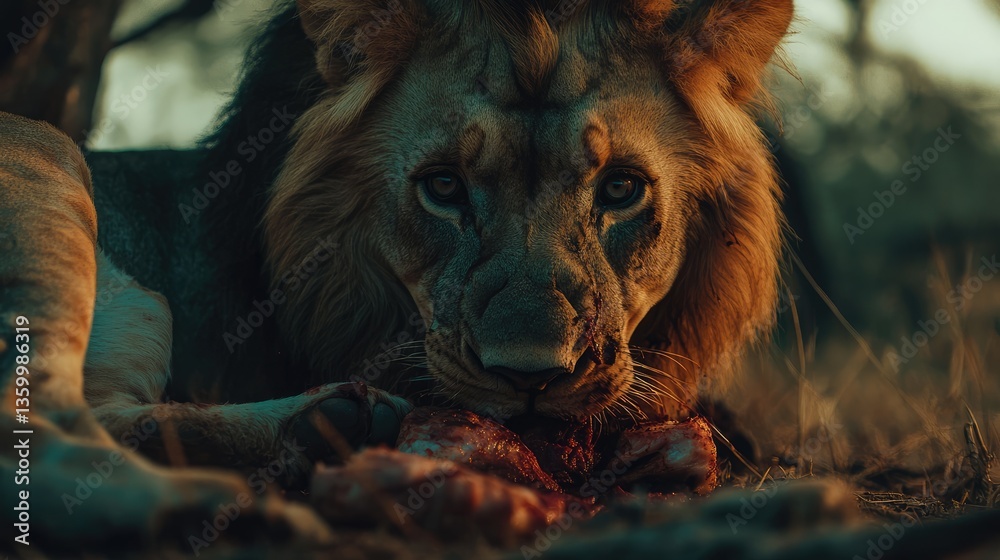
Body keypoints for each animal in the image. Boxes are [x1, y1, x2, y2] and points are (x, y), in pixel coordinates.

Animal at [1, 0, 791, 550]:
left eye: (622, 189)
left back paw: (329, 426)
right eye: (442, 187)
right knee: (44, 430)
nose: (531, 375)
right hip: (48, 162)